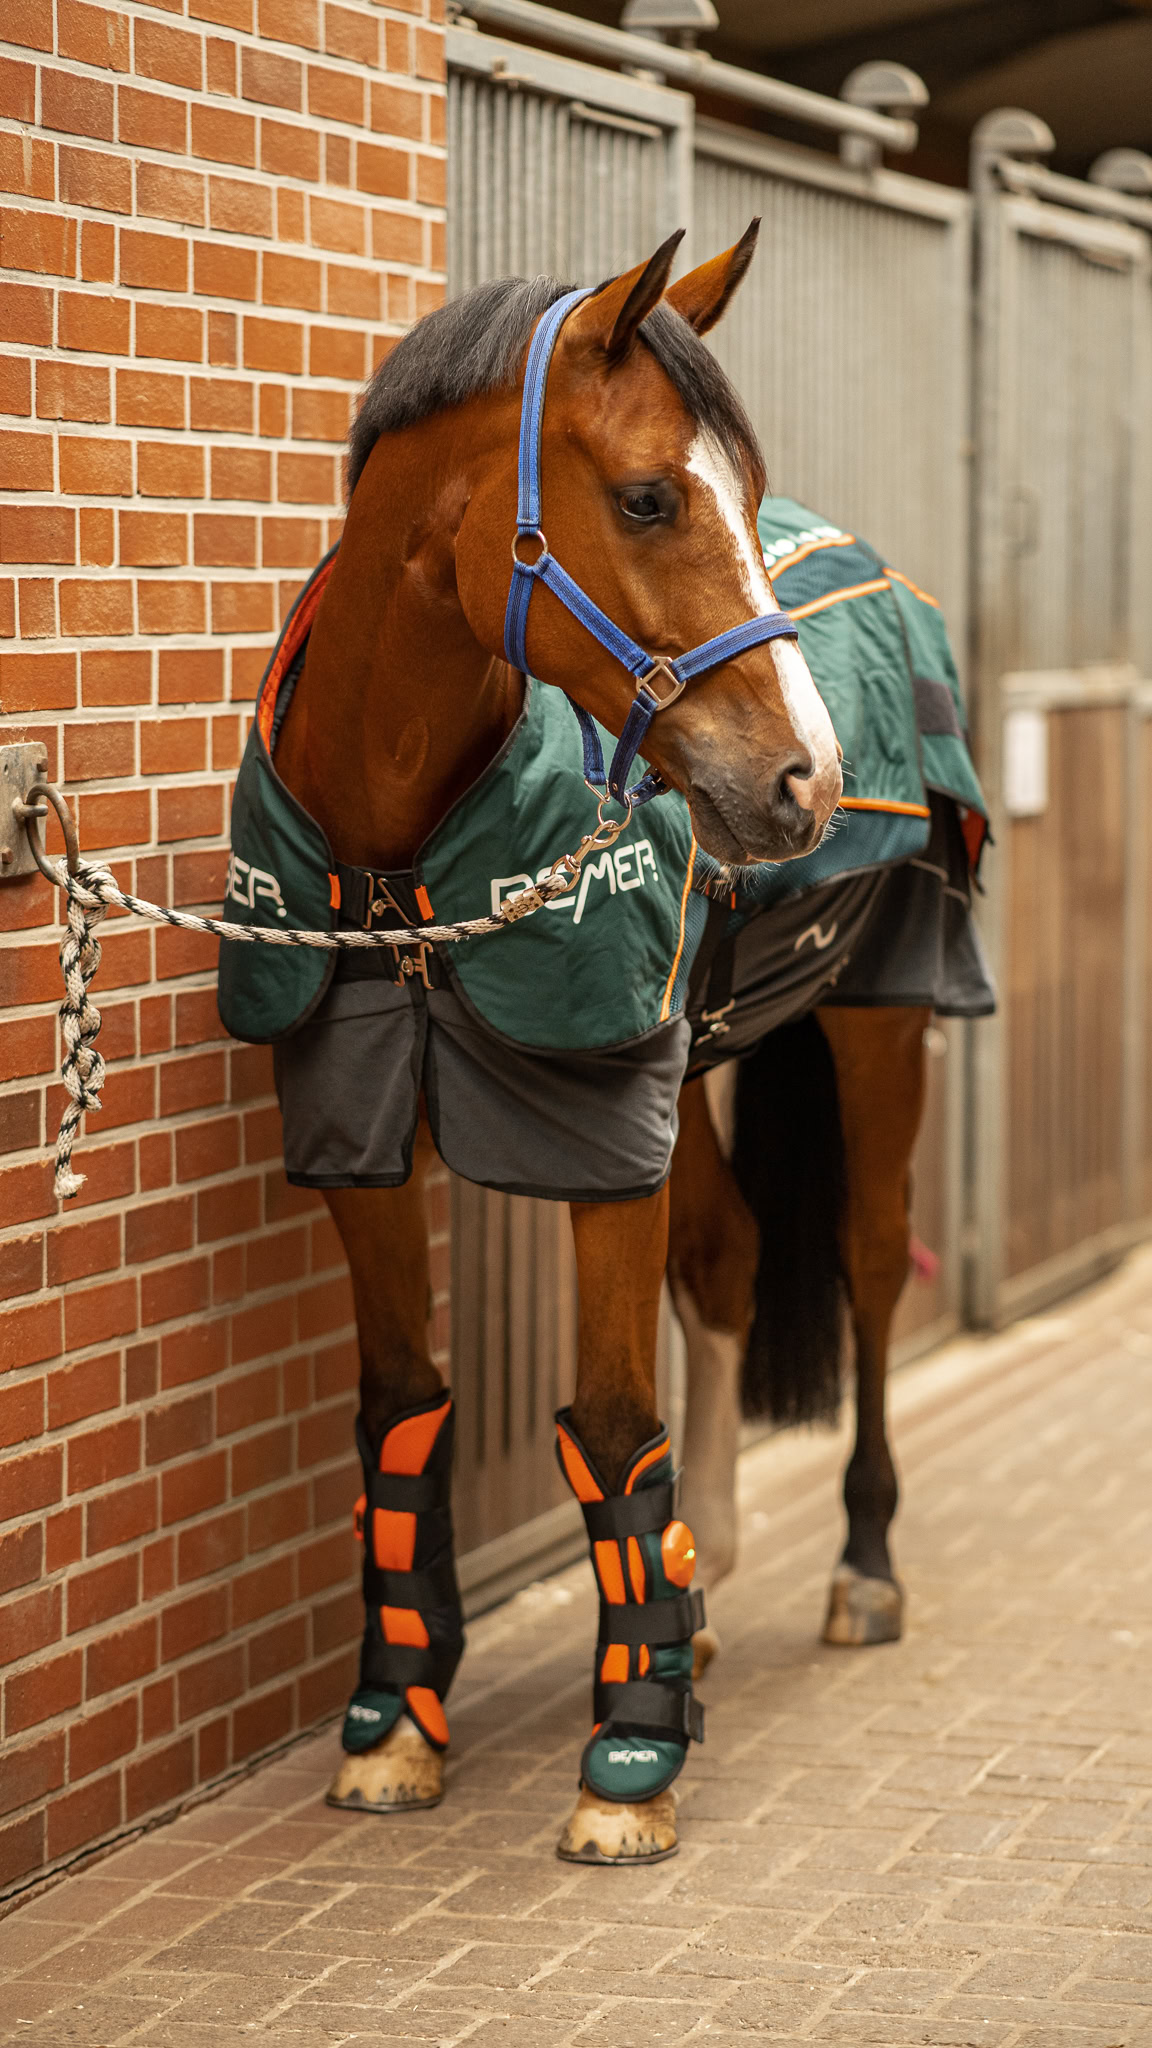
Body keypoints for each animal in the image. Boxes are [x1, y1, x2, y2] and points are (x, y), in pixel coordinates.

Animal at [222, 224, 843, 1866]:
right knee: (732, 1260)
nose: (807, 780)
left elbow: (615, 1431)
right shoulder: (359, 1148)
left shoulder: (602, 1141)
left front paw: (631, 1752)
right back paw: (721, 1569)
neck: (400, 860)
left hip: (878, 1038)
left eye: (745, 488)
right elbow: (399, 1416)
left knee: (875, 1283)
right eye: (648, 497)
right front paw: (393, 1720)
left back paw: (857, 1576)